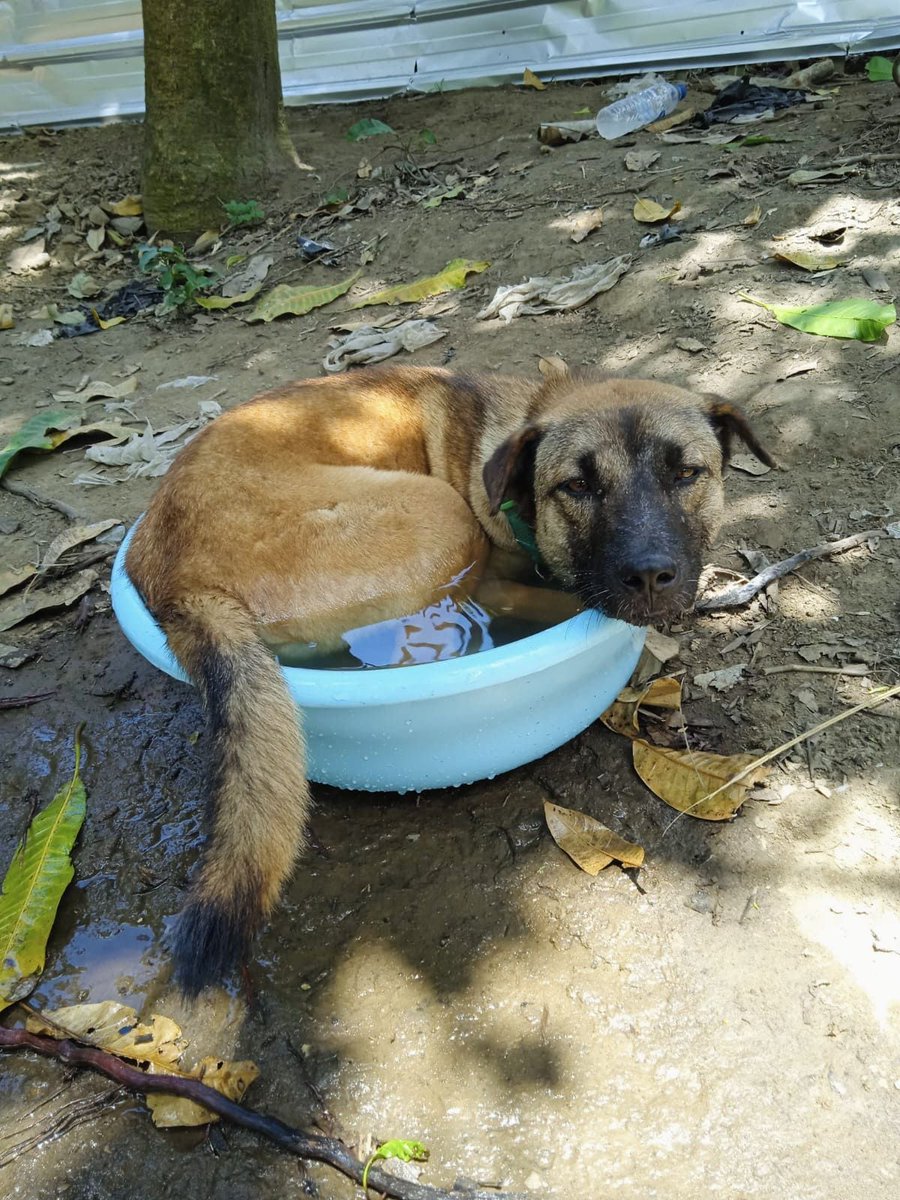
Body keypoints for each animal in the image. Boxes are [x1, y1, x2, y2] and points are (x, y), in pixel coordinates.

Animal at [127, 364, 777, 993]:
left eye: (687, 474)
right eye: (577, 486)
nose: (647, 576)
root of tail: (176, 583)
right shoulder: (497, 573)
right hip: (439, 516)